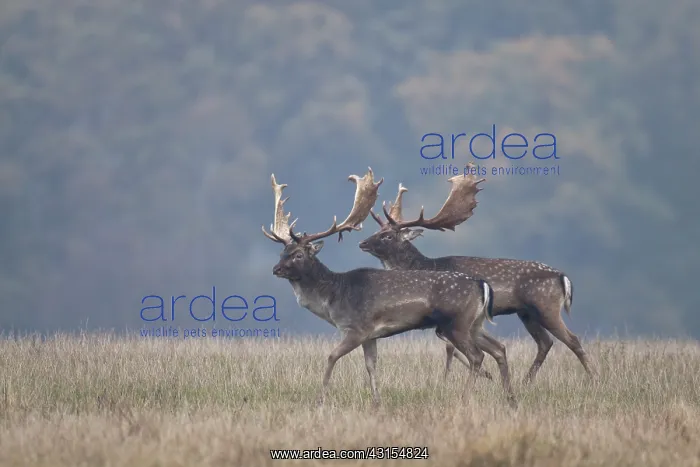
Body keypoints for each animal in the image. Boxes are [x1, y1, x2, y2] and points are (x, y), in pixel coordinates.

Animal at [261, 168, 517, 408]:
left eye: (298, 254)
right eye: (283, 252)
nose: (276, 269)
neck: (334, 298)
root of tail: (481, 284)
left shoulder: (356, 328)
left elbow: (331, 357)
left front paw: (320, 400)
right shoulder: (370, 336)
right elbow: (371, 365)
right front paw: (377, 402)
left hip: (457, 324)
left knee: (477, 356)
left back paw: (465, 398)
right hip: (474, 324)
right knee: (497, 348)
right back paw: (510, 399)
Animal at [358, 163, 596, 384]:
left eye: (388, 236)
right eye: (378, 231)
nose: (362, 243)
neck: (426, 266)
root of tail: (563, 277)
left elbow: (453, 350)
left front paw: (458, 378)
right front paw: (486, 376)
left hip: (546, 306)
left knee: (572, 340)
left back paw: (594, 379)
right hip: (526, 312)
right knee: (545, 342)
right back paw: (525, 382)